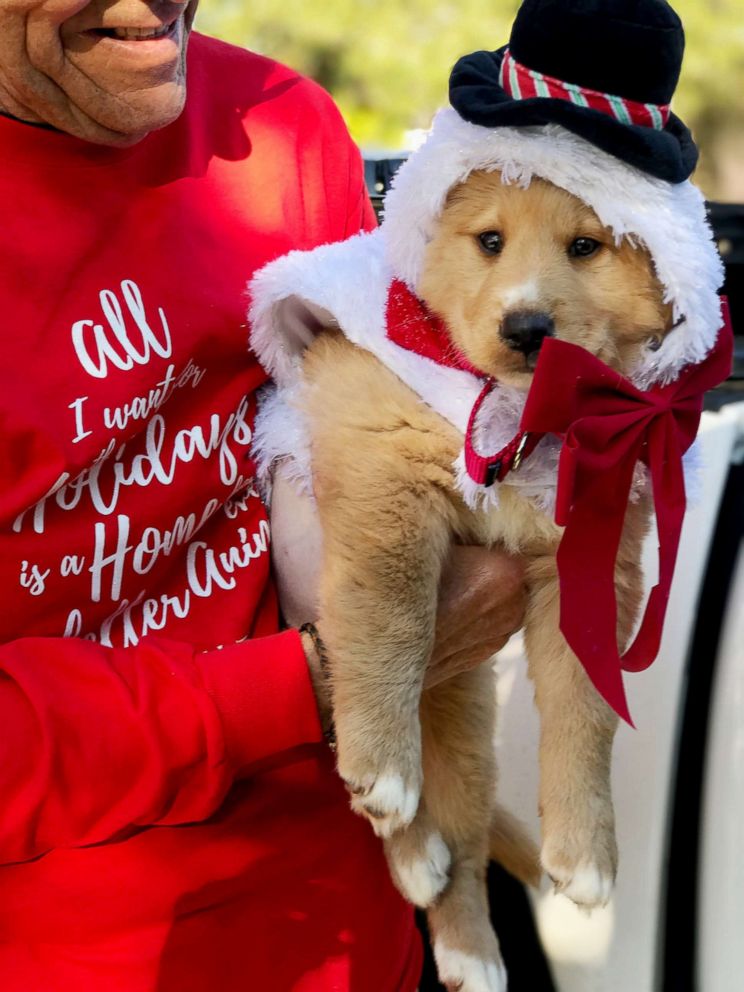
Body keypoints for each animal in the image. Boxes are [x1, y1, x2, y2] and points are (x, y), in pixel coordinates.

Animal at [270, 172, 672, 992]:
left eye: (585, 247)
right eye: (490, 240)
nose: (527, 327)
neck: (521, 420)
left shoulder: (591, 565)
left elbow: (586, 708)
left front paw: (585, 848)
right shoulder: (383, 472)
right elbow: (391, 614)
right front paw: (382, 762)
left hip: (465, 727)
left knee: (468, 840)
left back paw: (469, 945)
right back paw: (409, 839)